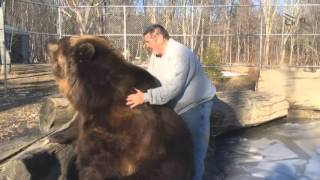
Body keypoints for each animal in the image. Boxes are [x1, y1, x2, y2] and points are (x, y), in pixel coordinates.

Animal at [46, 35, 194, 180]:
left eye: (62, 41)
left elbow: (95, 156)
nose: (49, 41)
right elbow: (77, 124)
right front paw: (56, 135)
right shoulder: (90, 111)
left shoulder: (116, 124)